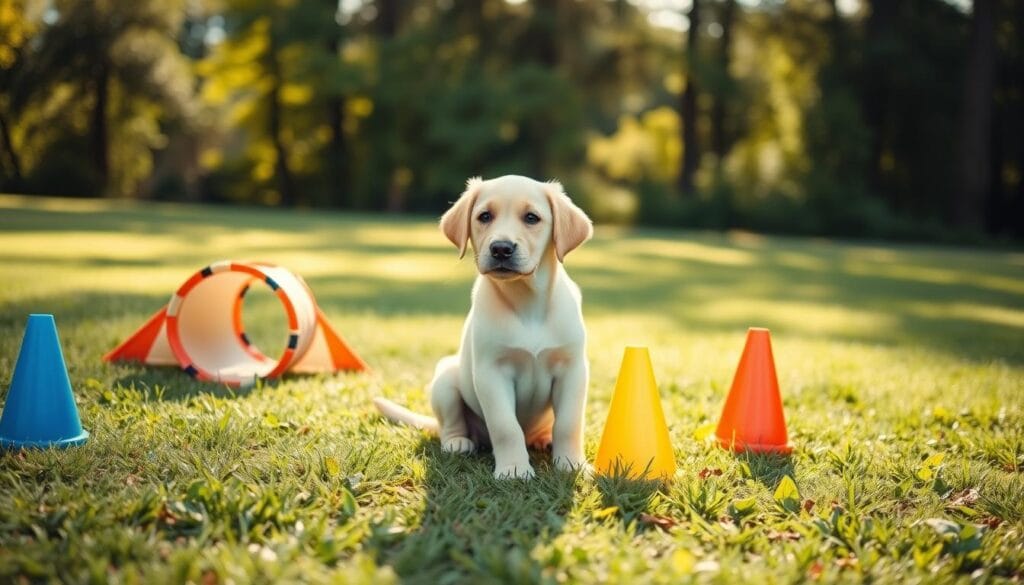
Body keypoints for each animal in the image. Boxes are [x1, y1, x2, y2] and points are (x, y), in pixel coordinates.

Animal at [376, 174, 593, 481]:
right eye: (485, 216)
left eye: (531, 218)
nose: (501, 248)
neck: (526, 300)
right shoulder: (492, 372)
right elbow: (506, 426)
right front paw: (514, 469)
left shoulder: (572, 370)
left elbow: (569, 424)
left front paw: (572, 464)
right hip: (446, 379)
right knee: (451, 424)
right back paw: (458, 442)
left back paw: (544, 439)